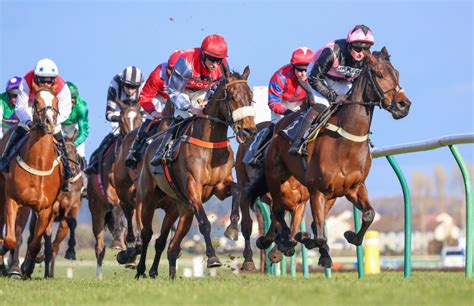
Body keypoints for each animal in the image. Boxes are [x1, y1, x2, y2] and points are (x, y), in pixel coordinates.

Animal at [0, 84, 63, 278]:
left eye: (56, 101)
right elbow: (10, 239)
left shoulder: (45, 209)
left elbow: (35, 242)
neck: (39, 163)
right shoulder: (13, 200)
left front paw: (27, 267)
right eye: (36, 101)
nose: (49, 122)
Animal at [87, 100, 143, 278]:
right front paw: (121, 243)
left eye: (139, 118)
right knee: (99, 246)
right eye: (122, 119)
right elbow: (118, 208)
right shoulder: (112, 192)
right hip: (96, 209)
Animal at [135, 68, 258, 278]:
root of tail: (150, 147)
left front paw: (232, 229)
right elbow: (205, 223)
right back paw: (141, 270)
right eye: (232, 97)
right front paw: (213, 258)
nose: (249, 130)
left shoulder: (220, 186)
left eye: (250, 97)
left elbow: (237, 191)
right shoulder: (193, 190)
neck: (210, 145)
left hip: (180, 208)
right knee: (147, 234)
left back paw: (164, 273)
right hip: (149, 199)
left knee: (170, 245)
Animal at [252, 47, 412, 266]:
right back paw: (277, 242)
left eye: (397, 74)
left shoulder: (354, 187)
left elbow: (369, 215)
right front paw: (305, 240)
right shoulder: (316, 190)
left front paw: (351, 236)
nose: (403, 104)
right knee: (277, 210)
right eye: (379, 74)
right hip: (275, 178)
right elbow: (318, 234)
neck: (346, 143)